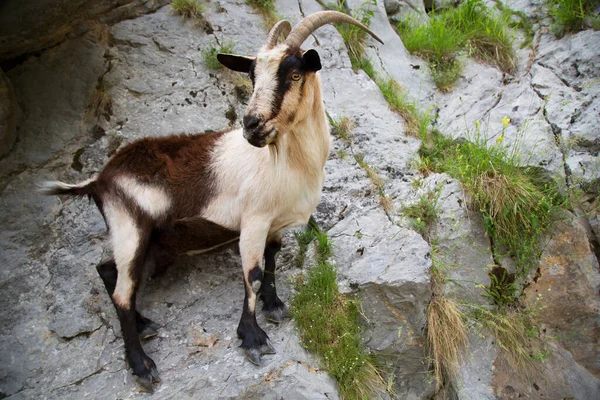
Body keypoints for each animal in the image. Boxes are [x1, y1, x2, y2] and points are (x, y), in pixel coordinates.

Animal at [42, 10, 382, 394]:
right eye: (252, 75)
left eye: (295, 74)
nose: (251, 125)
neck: (286, 163)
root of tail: (99, 179)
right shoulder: (254, 220)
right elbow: (253, 273)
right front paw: (253, 339)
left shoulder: (275, 224)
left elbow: (272, 260)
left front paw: (275, 306)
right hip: (130, 227)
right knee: (121, 292)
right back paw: (143, 366)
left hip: (140, 238)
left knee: (107, 270)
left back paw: (144, 324)